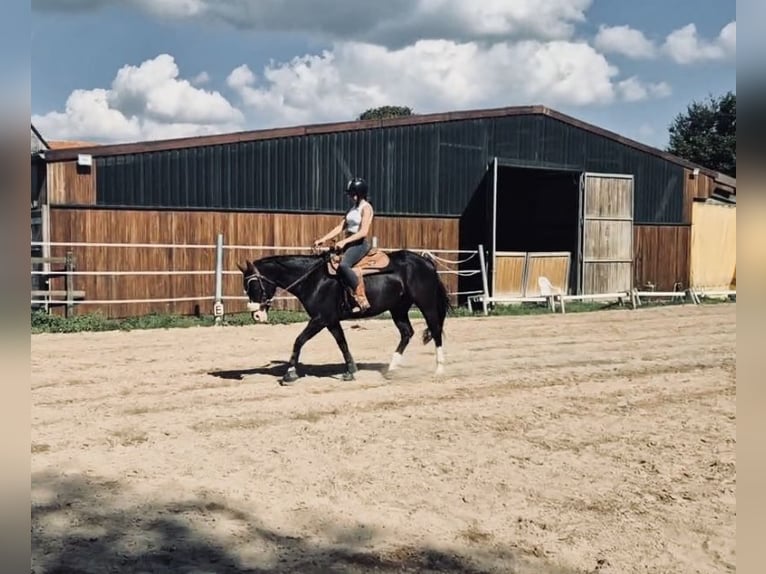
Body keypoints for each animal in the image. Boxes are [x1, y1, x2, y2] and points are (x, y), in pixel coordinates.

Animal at [237, 248, 452, 388]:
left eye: (253, 285)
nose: (256, 314)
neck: (314, 279)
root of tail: (426, 263)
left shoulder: (320, 319)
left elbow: (299, 341)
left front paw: (290, 374)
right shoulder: (331, 320)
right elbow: (342, 343)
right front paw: (350, 371)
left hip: (426, 304)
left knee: (435, 330)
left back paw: (439, 370)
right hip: (398, 308)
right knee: (407, 333)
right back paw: (391, 368)